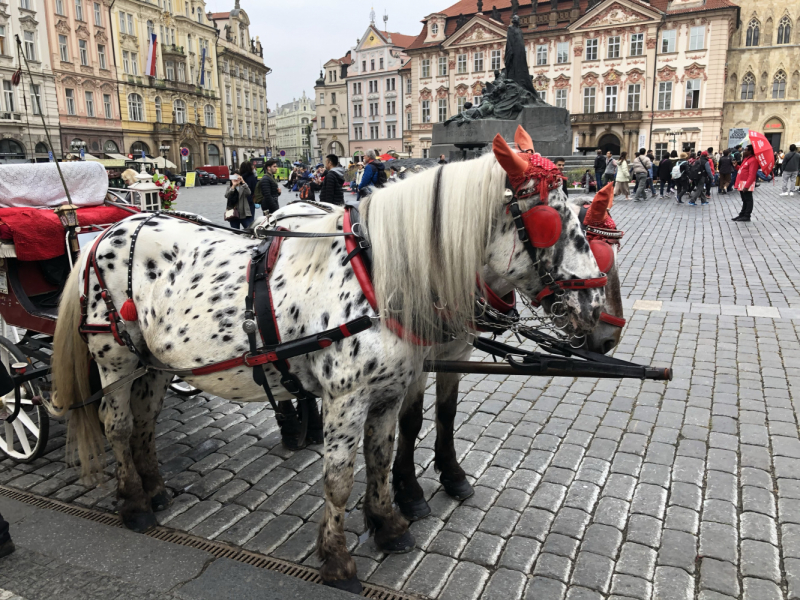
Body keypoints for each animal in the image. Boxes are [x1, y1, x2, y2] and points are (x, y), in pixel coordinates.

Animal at [50, 129, 608, 592]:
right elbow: (339, 479)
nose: (599, 317)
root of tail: (110, 232)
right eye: (556, 223)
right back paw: (134, 503)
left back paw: (156, 488)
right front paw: (337, 559)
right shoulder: (346, 399)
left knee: (145, 420)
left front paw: (388, 525)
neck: (376, 274)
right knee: (118, 425)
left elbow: (380, 459)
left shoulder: (388, 394)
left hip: (155, 363)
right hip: (116, 360)